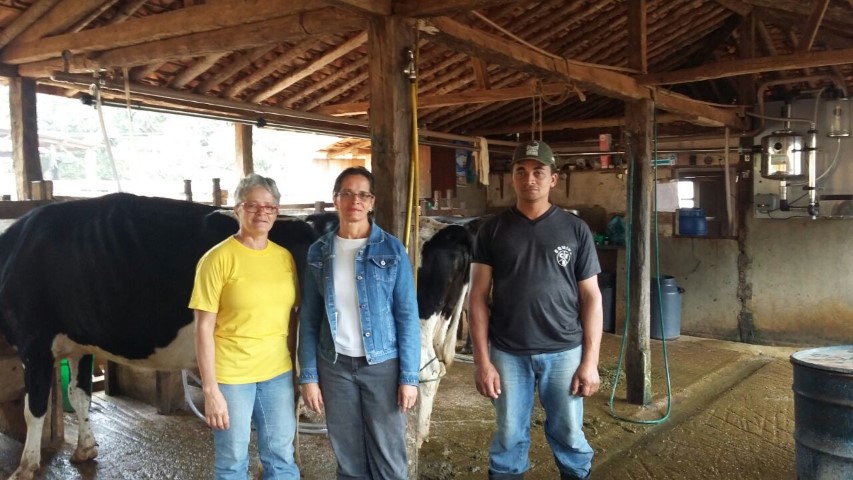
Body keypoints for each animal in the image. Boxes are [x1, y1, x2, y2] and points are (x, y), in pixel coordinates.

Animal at [0, 193, 317, 480]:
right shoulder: (80, 344)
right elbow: (79, 395)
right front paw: (85, 449)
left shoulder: (33, 342)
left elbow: (34, 408)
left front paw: (25, 467)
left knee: (289, 399)